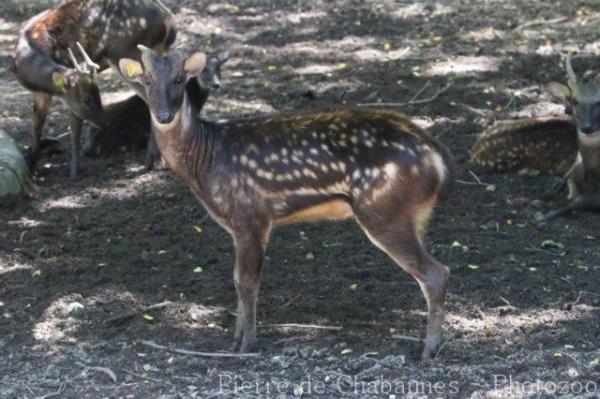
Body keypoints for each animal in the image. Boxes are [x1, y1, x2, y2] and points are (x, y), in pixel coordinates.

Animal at [11, 0, 176, 178]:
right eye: (88, 99)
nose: (105, 121)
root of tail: (169, 20)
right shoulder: (41, 94)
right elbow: (37, 126)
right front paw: (31, 167)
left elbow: (75, 127)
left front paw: (74, 171)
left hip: (126, 53)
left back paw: (155, 161)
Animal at [119, 45, 458, 360]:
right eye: (147, 80)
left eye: (179, 79)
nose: (164, 115)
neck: (206, 158)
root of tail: (438, 159)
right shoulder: (237, 227)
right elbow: (236, 279)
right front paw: (235, 339)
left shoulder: (251, 216)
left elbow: (248, 283)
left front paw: (247, 345)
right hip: (413, 214)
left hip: (384, 208)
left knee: (435, 273)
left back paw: (428, 350)